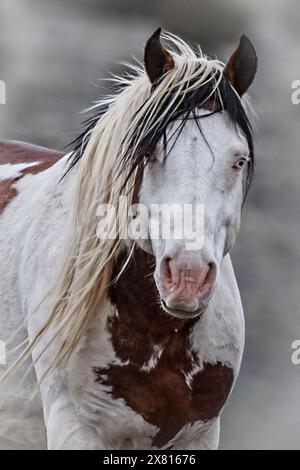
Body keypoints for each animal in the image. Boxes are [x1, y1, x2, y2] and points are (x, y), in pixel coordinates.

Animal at [0, 30, 256, 452]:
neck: (160, 336)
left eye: (239, 160)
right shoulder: (75, 428)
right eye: (149, 152)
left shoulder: (199, 434)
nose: (187, 275)